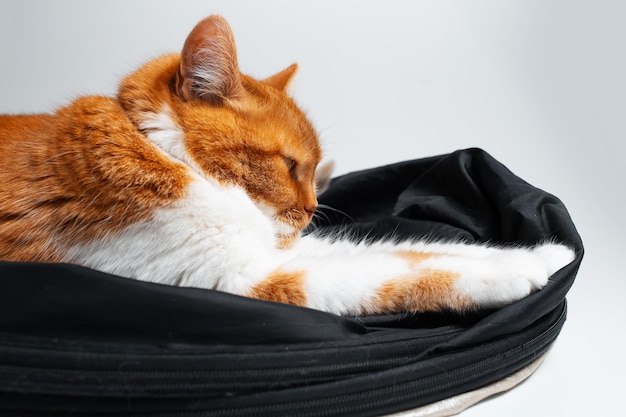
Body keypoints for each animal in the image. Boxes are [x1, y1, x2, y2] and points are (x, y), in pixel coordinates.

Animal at [0, 16, 572, 316]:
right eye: (290, 165)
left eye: (314, 169)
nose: (313, 209)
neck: (168, 156)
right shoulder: (238, 276)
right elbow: (392, 273)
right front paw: (516, 274)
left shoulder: (279, 249)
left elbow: (406, 250)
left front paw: (544, 253)